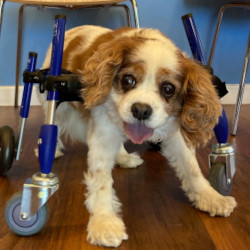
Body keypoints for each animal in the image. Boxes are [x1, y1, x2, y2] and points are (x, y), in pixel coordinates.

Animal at [40, 24, 237, 247]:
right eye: (128, 80)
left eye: (168, 88)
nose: (141, 110)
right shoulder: (103, 134)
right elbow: (101, 180)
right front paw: (104, 222)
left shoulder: (175, 133)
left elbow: (192, 168)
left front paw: (210, 197)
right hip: (55, 99)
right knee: (51, 122)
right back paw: (52, 149)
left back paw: (123, 156)